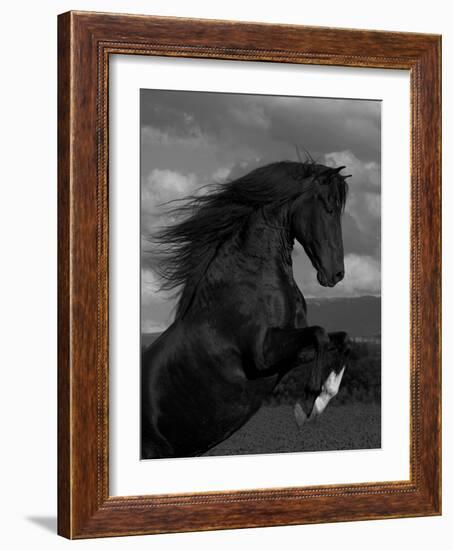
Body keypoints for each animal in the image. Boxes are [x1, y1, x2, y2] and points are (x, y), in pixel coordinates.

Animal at [140, 161, 350, 462]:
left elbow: (341, 340)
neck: (252, 280)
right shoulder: (263, 355)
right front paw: (305, 410)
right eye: (328, 207)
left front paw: (320, 402)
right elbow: (320, 334)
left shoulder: (293, 352)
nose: (336, 274)